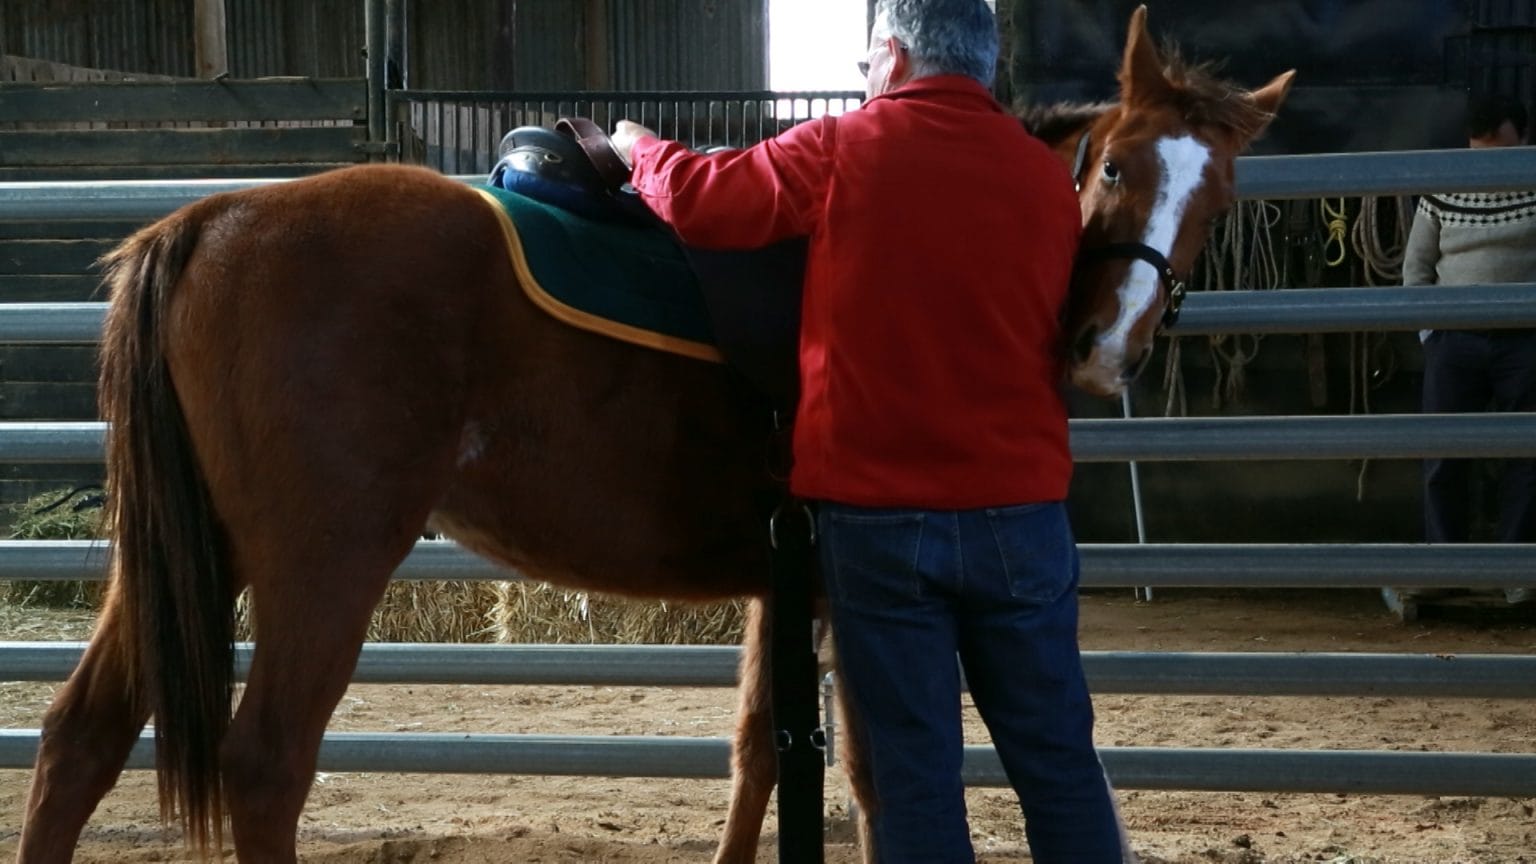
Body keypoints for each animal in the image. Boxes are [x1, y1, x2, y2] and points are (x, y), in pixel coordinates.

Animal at [15, 6, 1291, 863]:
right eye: (1115, 166)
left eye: (1220, 196)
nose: (1106, 346)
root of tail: (211, 219)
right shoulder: (850, 590)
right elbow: (871, 777)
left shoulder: (786, 586)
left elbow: (759, 753)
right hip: (320, 561)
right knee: (266, 765)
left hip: (188, 555)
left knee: (79, 740)